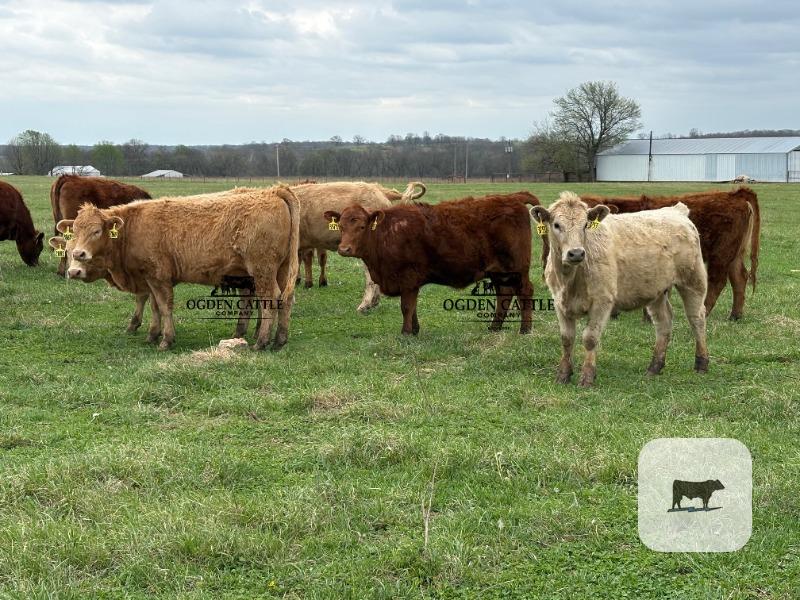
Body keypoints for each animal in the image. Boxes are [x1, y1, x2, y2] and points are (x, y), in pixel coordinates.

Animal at [56, 185, 300, 350]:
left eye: (97, 231)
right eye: (73, 233)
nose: (78, 257)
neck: (132, 228)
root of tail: (274, 191)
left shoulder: (159, 277)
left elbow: (165, 307)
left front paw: (166, 339)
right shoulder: (149, 279)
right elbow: (155, 307)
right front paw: (152, 335)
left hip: (263, 270)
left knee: (270, 300)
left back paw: (262, 341)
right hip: (280, 270)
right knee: (286, 299)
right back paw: (280, 339)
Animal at [324, 191, 539, 335]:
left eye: (361, 226)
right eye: (340, 226)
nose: (344, 249)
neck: (387, 233)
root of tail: (512, 197)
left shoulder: (408, 278)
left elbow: (406, 306)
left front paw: (406, 333)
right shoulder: (409, 283)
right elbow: (412, 307)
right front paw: (414, 330)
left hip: (517, 269)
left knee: (524, 292)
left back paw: (525, 329)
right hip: (499, 272)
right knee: (505, 294)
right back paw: (494, 327)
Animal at [532, 192, 708, 387]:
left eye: (585, 224)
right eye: (556, 225)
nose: (576, 253)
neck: (570, 280)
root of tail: (675, 211)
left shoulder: (602, 301)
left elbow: (590, 338)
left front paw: (587, 377)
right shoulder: (559, 302)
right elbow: (567, 339)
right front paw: (563, 375)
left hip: (693, 280)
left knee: (696, 318)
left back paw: (701, 364)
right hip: (656, 290)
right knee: (663, 322)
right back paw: (654, 367)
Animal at [580, 187, 760, 321]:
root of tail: (735, 194)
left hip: (721, 253)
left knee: (717, 281)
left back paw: (705, 312)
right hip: (734, 254)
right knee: (739, 278)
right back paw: (735, 315)